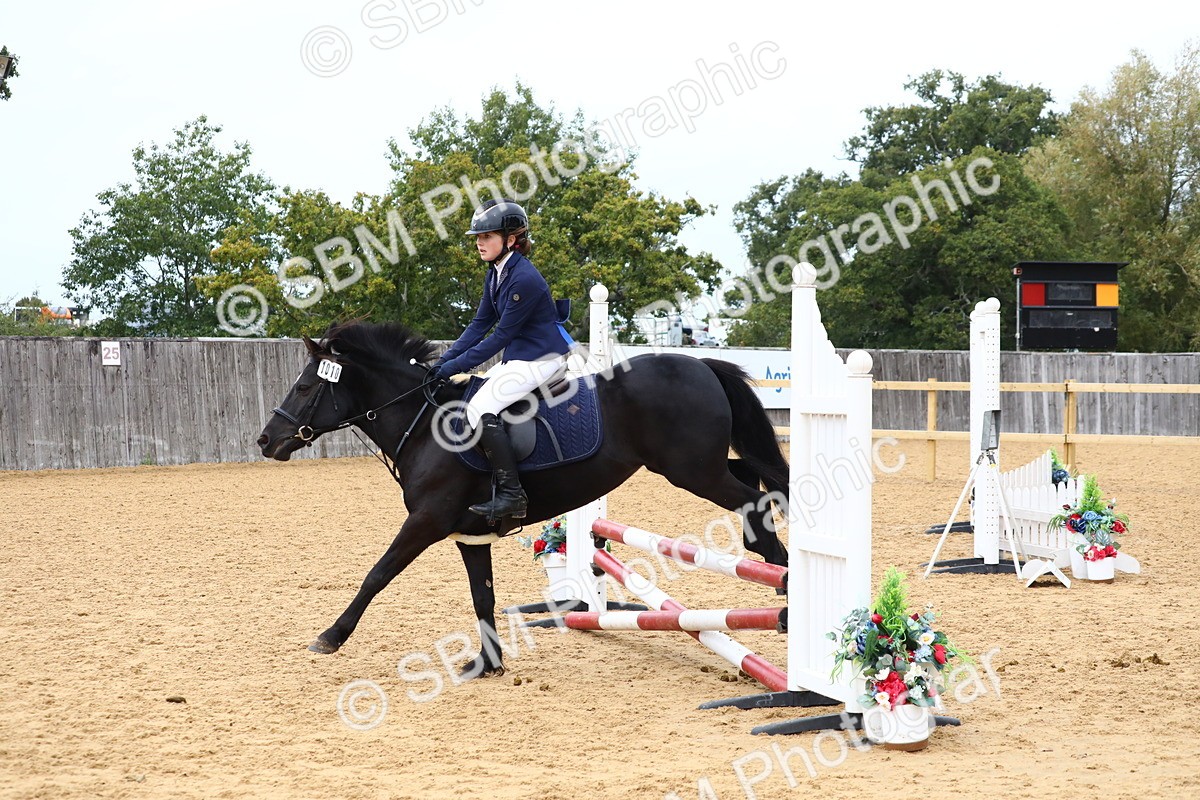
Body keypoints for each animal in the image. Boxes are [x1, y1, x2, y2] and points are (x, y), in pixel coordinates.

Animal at [257, 321, 790, 678]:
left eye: (304, 386)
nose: (267, 441)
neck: (423, 426)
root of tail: (699, 364)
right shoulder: (467, 534)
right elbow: (482, 596)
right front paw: (486, 664)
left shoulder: (426, 522)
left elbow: (377, 575)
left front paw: (330, 637)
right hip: (697, 467)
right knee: (755, 478)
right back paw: (769, 559)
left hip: (691, 471)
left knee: (752, 495)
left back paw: (779, 569)